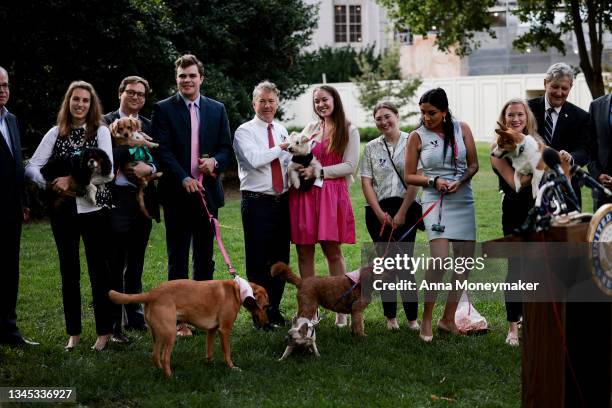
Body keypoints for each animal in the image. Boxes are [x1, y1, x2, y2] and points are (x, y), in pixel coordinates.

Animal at [108, 278, 270, 378]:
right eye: (266, 306)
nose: (267, 324)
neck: (239, 289)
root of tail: (151, 294)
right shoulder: (224, 330)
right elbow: (227, 352)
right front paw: (231, 367)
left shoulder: (211, 331)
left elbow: (209, 350)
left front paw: (209, 364)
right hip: (170, 334)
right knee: (165, 357)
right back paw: (171, 377)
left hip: (159, 334)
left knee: (155, 355)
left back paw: (160, 371)